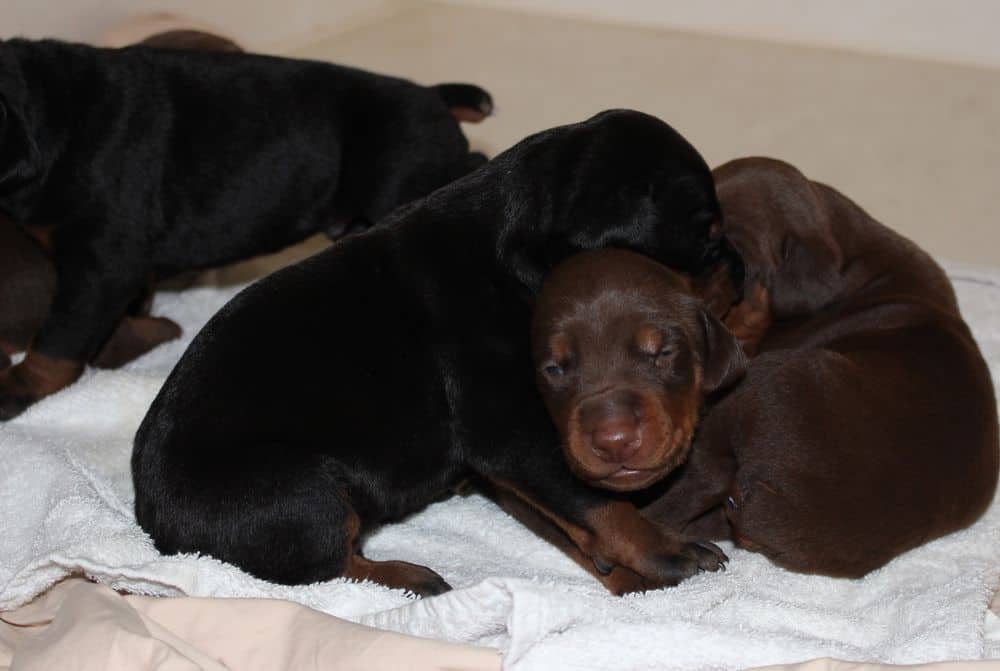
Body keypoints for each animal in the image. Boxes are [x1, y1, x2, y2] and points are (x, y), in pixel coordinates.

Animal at [0, 36, 492, 420]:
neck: (50, 113)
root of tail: (433, 97)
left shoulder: (101, 259)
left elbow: (58, 340)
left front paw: (18, 386)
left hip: (405, 176)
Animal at [133, 111, 744, 600]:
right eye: (707, 239)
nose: (741, 271)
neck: (513, 254)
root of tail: (151, 523)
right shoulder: (510, 429)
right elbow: (595, 502)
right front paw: (669, 550)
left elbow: (568, 515)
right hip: (299, 494)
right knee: (325, 566)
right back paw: (408, 576)